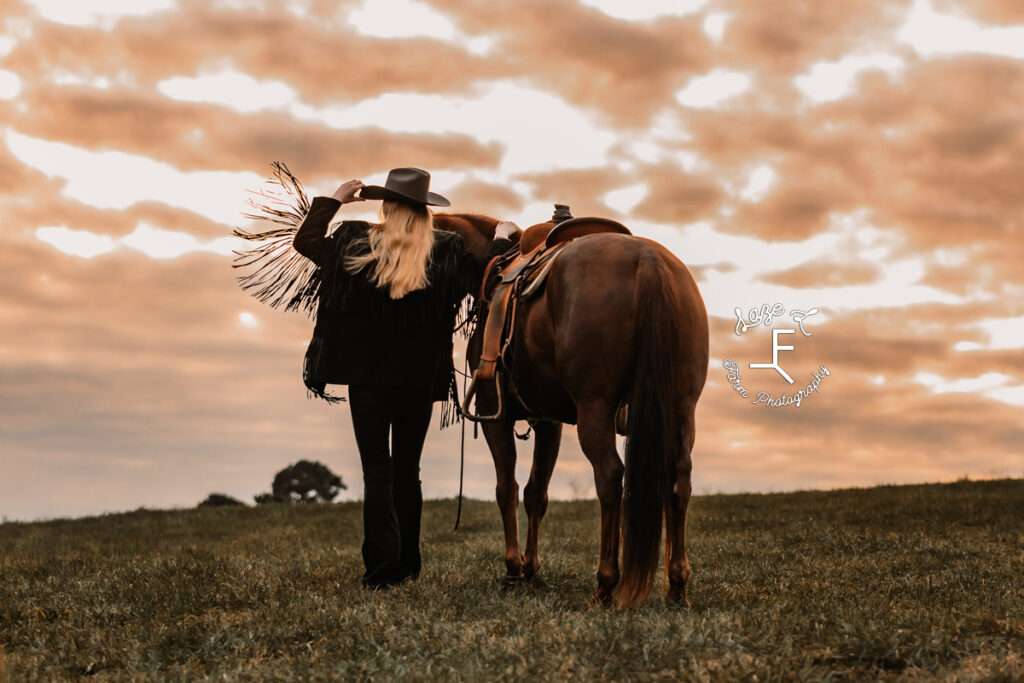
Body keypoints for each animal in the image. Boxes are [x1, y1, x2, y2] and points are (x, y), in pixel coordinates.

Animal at [436, 210, 708, 606]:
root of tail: (650, 261)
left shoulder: (494, 414)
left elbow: (507, 489)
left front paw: (513, 570)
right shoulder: (549, 422)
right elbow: (536, 493)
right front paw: (530, 569)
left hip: (595, 409)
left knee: (609, 476)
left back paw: (605, 584)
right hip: (681, 408)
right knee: (679, 479)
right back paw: (676, 585)